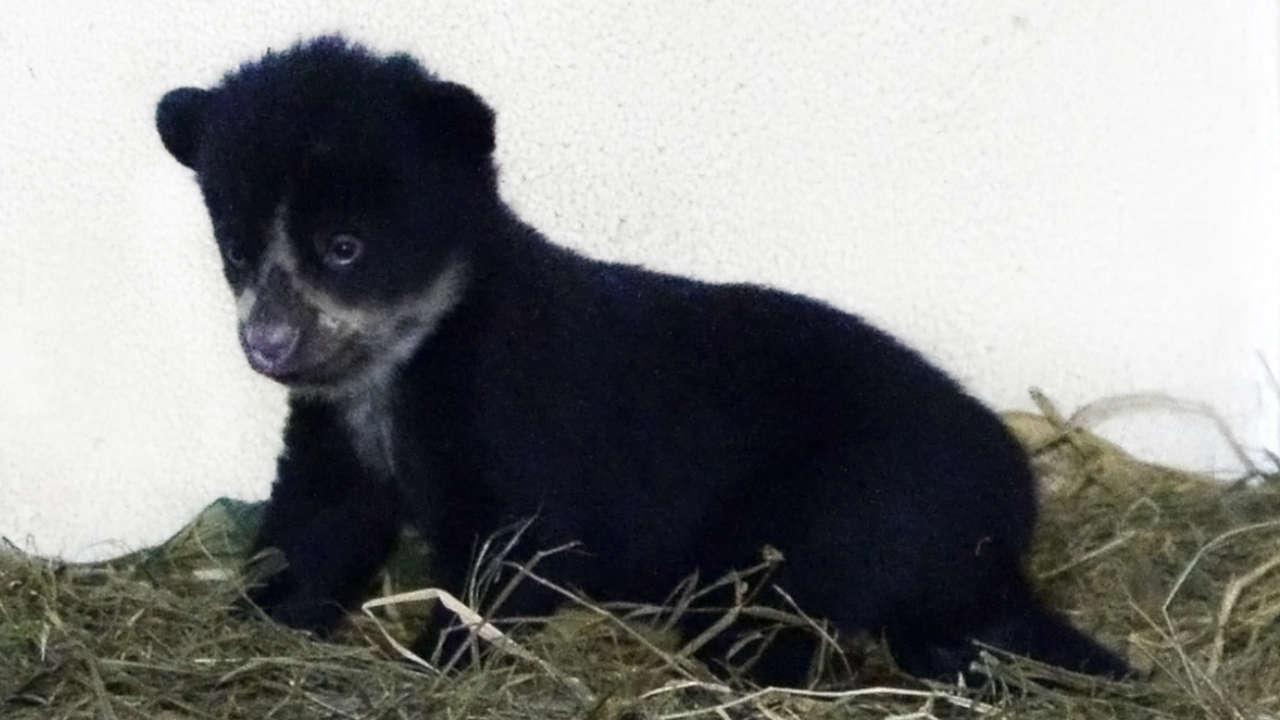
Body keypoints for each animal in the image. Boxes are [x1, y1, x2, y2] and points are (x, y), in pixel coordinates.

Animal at [155, 36, 1128, 685]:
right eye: (236, 251)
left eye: (346, 247)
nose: (269, 345)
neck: (405, 365)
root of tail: (1009, 519)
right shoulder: (336, 431)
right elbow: (318, 526)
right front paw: (257, 621)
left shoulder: (513, 418)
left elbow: (510, 556)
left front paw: (441, 660)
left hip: (836, 512)